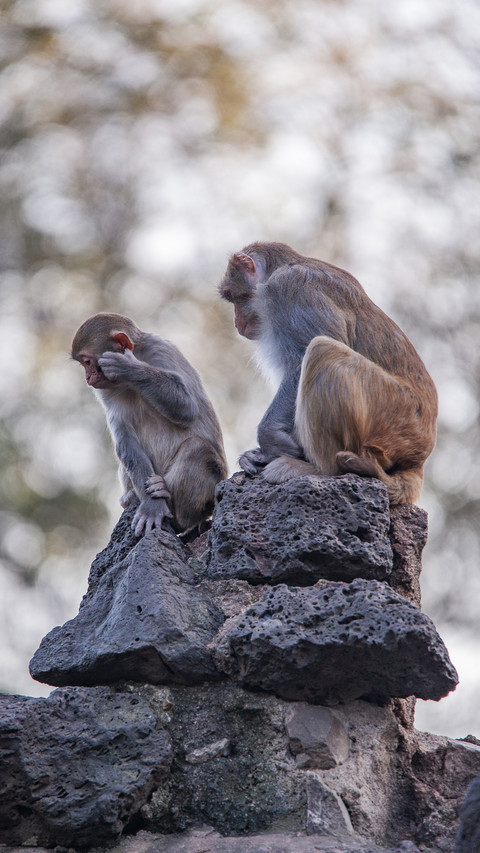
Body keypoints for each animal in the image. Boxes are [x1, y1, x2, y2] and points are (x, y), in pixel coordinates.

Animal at [71, 313, 228, 536]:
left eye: (87, 361)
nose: (87, 377)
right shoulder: (106, 389)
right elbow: (125, 439)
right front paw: (152, 505)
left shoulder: (161, 349)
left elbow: (187, 406)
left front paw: (129, 367)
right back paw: (132, 498)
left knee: (197, 448)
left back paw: (176, 512)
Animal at [219, 242, 437, 505]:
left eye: (233, 296)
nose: (235, 322)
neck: (281, 268)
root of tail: (419, 457)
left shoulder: (290, 289)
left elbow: (300, 359)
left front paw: (270, 440)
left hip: (394, 412)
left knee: (322, 350)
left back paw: (317, 470)